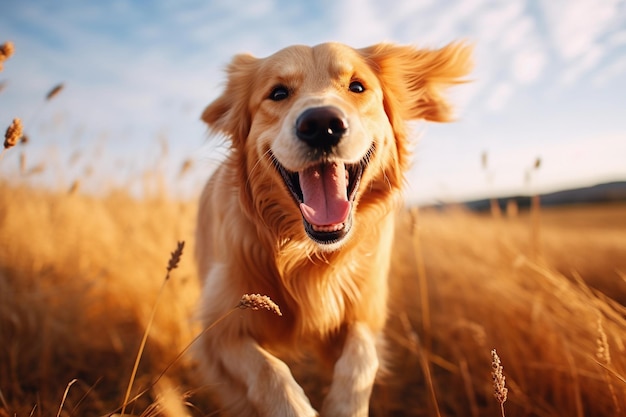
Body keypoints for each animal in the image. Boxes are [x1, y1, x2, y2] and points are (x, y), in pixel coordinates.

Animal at [194, 39, 468, 416]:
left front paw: (344, 406)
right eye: (278, 93)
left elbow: (360, 359)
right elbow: (269, 371)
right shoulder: (219, 330)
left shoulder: (363, 310)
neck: (306, 254)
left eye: (357, 87)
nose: (321, 124)